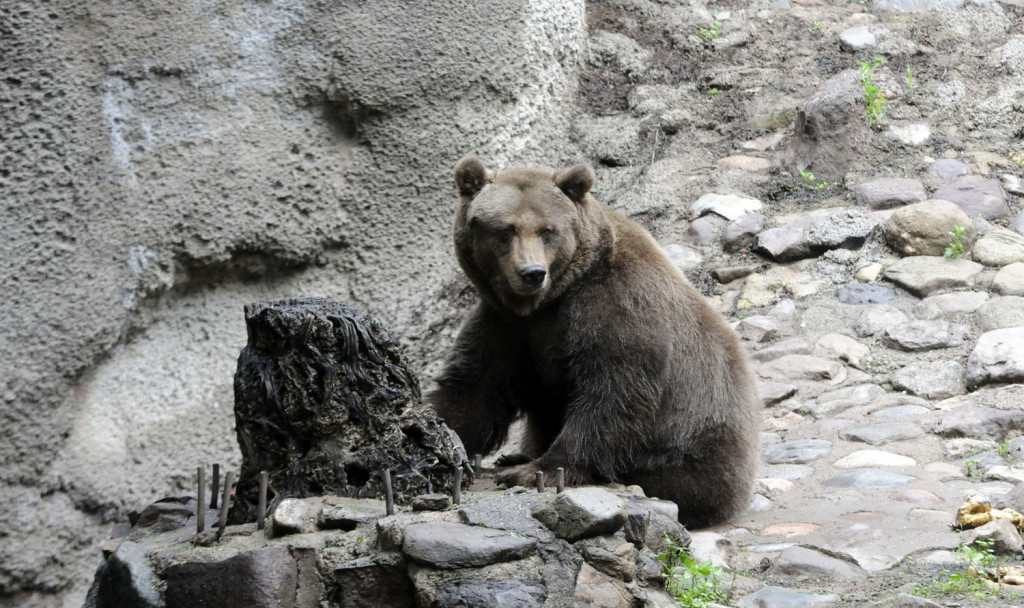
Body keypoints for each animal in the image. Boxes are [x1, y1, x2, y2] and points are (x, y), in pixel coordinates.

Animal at [430, 156, 761, 524]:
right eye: (505, 229)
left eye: (547, 230)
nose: (532, 273)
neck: (550, 300)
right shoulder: (507, 326)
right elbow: (474, 389)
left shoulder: (615, 307)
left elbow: (611, 392)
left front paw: (538, 470)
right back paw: (514, 456)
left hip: (692, 437)